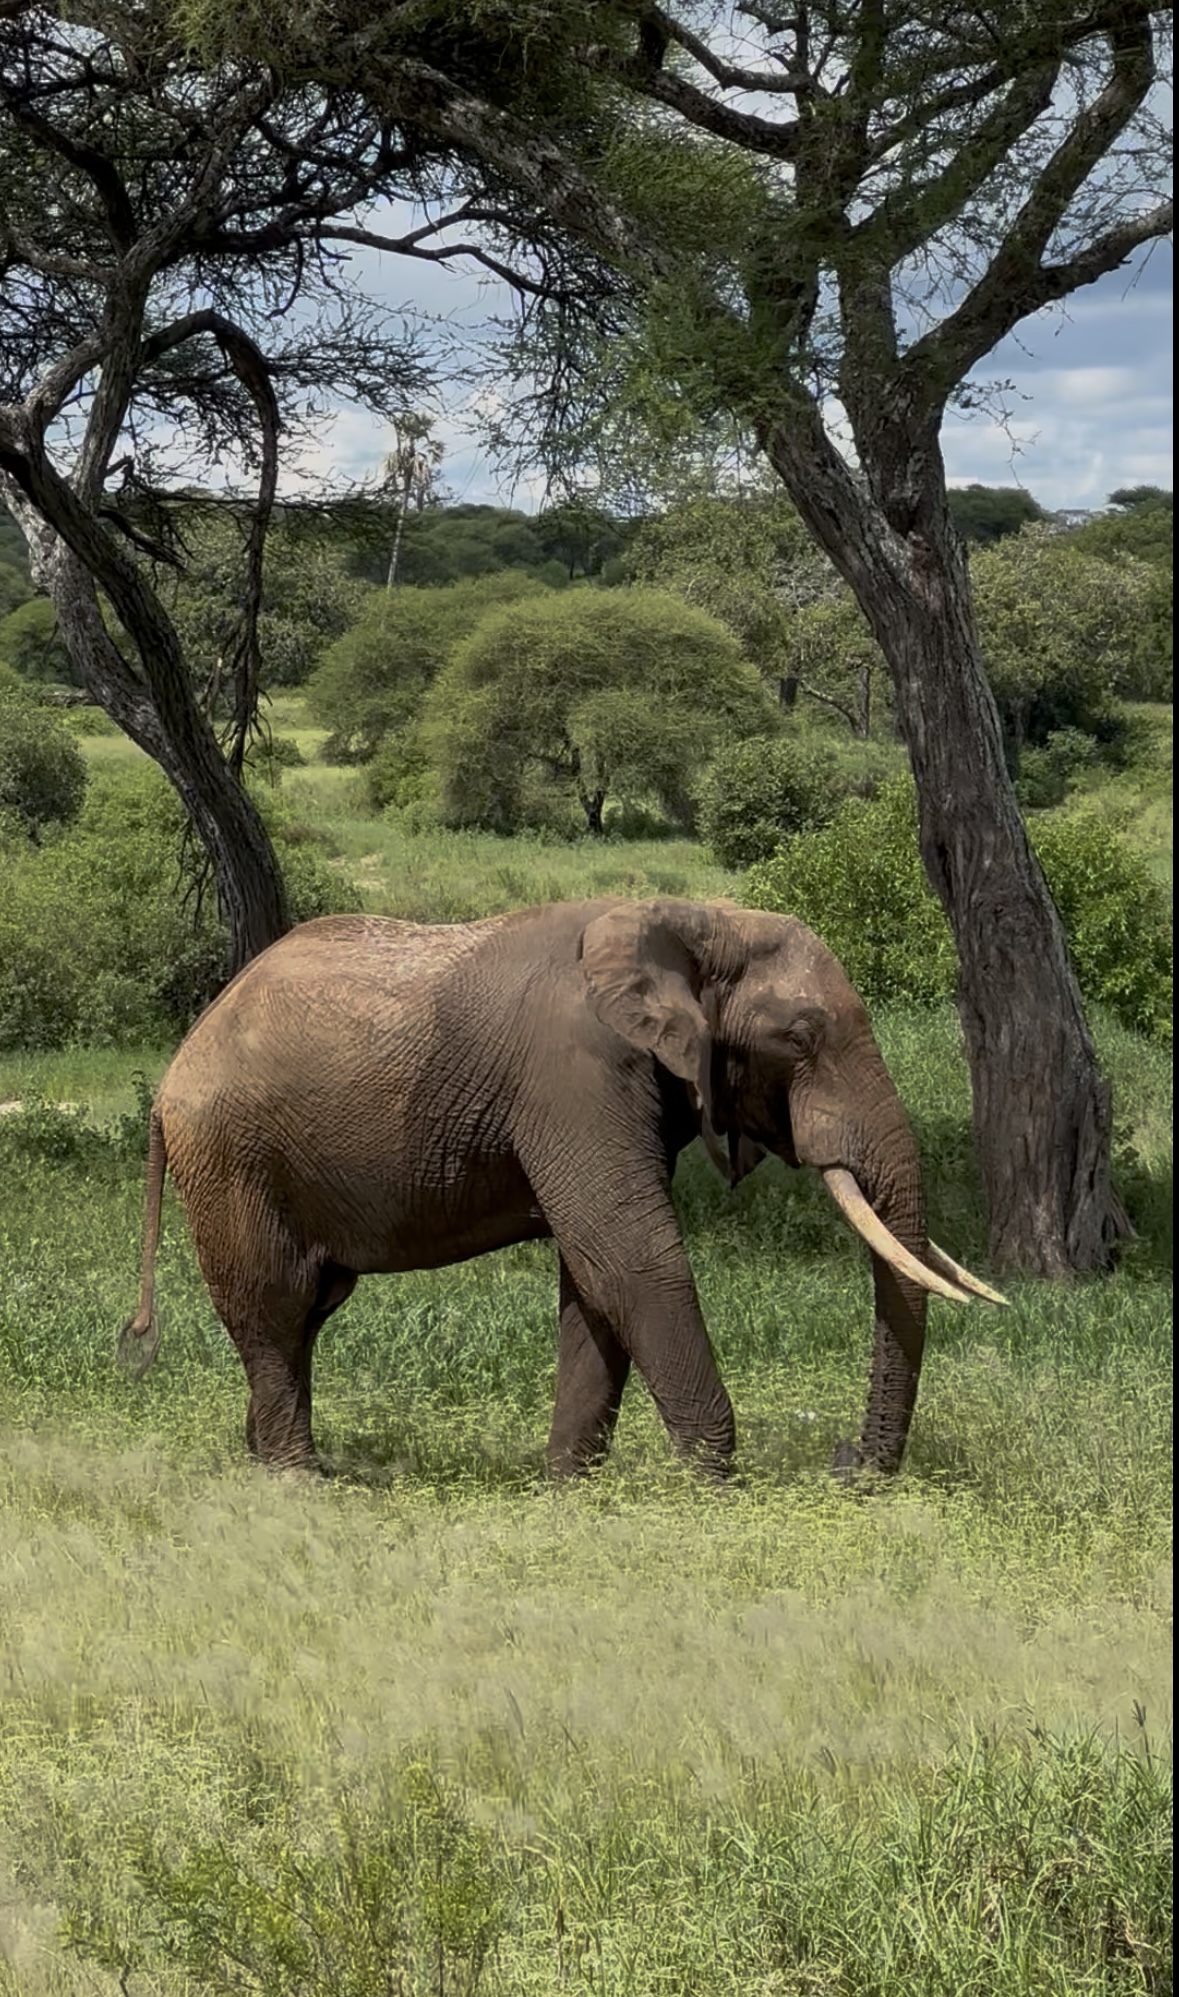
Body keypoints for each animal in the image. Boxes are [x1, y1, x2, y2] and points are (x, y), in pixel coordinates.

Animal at [120, 899, 1004, 1478]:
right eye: (800, 1037)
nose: (846, 1461)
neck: (691, 916)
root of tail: (176, 1068)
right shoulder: (576, 1075)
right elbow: (629, 1257)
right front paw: (714, 1488)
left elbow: (592, 1279)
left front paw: (569, 1488)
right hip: (231, 1156)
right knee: (272, 1309)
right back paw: (299, 1480)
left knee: (307, 1308)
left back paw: (274, 1459)